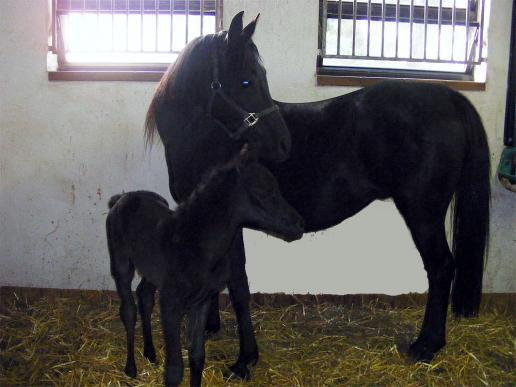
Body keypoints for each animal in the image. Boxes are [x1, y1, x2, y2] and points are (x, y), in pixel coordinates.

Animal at [106, 149, 304, 387]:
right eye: (263, 191)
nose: (299, 224)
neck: (196, 243)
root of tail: (121, 198)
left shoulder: (201, 301)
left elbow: (197, 356)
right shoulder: (171, 303)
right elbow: (175, 369)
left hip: (151, 272)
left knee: (144, 295)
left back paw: (150, 353)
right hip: (121, 264)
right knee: (128, 310)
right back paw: (131, 368)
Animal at [143, 10, 490, 380]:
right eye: (247, 81)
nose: (284, 144)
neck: (210, 138)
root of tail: (449, 97)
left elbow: (239, 286)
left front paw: (244, 359)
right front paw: (210, 327)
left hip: (423, 213)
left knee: (441, 267)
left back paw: (426, 345)